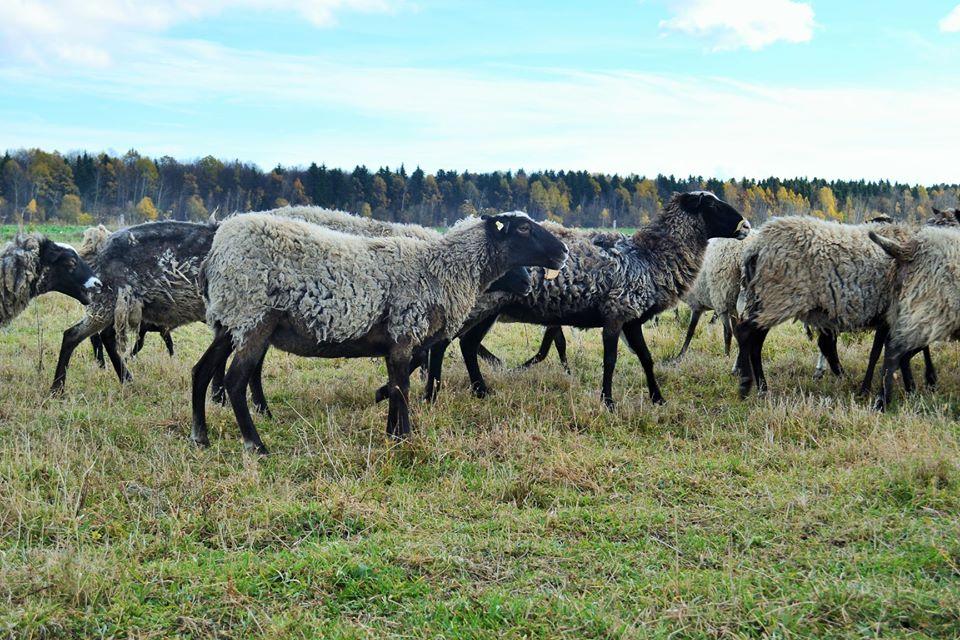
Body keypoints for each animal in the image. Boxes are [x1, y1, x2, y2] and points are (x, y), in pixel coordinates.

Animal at [191, 210, 568, 450]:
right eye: (523, 229)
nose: (563, 251)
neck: (441, 268)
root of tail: (216, 252)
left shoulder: (399, 342)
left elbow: (397, 385)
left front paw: (392, 434)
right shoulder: (404, 332)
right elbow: (401, 388)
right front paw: (405, 437)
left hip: (229, 322)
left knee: (201, 370)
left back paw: (201, 437)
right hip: (253, 318)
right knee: (233, 380)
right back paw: (255, 445)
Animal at [426, 191, 752, 410]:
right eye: (711, 205)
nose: (747, 226)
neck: (650, 256)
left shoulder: (632, 319)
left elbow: (646, 358)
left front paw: (658, 398)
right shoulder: (616, 313)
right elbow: (611, 360)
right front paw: (608, 402)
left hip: (489, 309)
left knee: (467, 344)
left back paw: (481, 391)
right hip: (473, 305)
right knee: (444, 343)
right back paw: (433, 392)